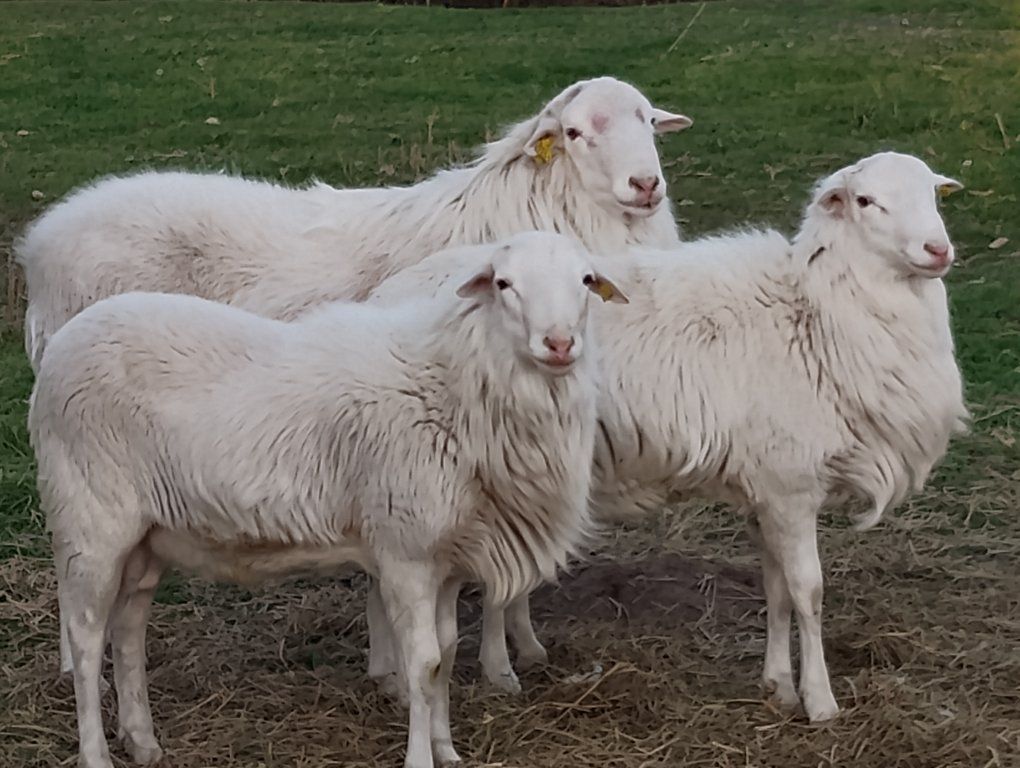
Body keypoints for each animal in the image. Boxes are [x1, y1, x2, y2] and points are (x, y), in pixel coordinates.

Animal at [29, 231, 630, 768]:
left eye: (586, 281)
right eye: (504, 284)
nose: (559, 344)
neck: (460, 383)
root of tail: (58, 347)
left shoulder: (445, 557)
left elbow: (445, 655)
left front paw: (446, 748)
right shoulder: (404, 552)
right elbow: (423, 664)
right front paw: (420, 757)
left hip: (147, 535)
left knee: (128, 631)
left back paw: (142, 741)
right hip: (91, 516)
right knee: (86, 639)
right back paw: (96, 755)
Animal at [366, 152, 969, 721]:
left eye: (934, 192)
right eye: (866, 201)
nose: (937, 250)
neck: (816, 314)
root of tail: (381, 296)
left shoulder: (767, 490)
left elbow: (775, 589)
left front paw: (777, 685)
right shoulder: (792, 484)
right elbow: (808, 591)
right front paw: (820, 701)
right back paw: (412, 674)